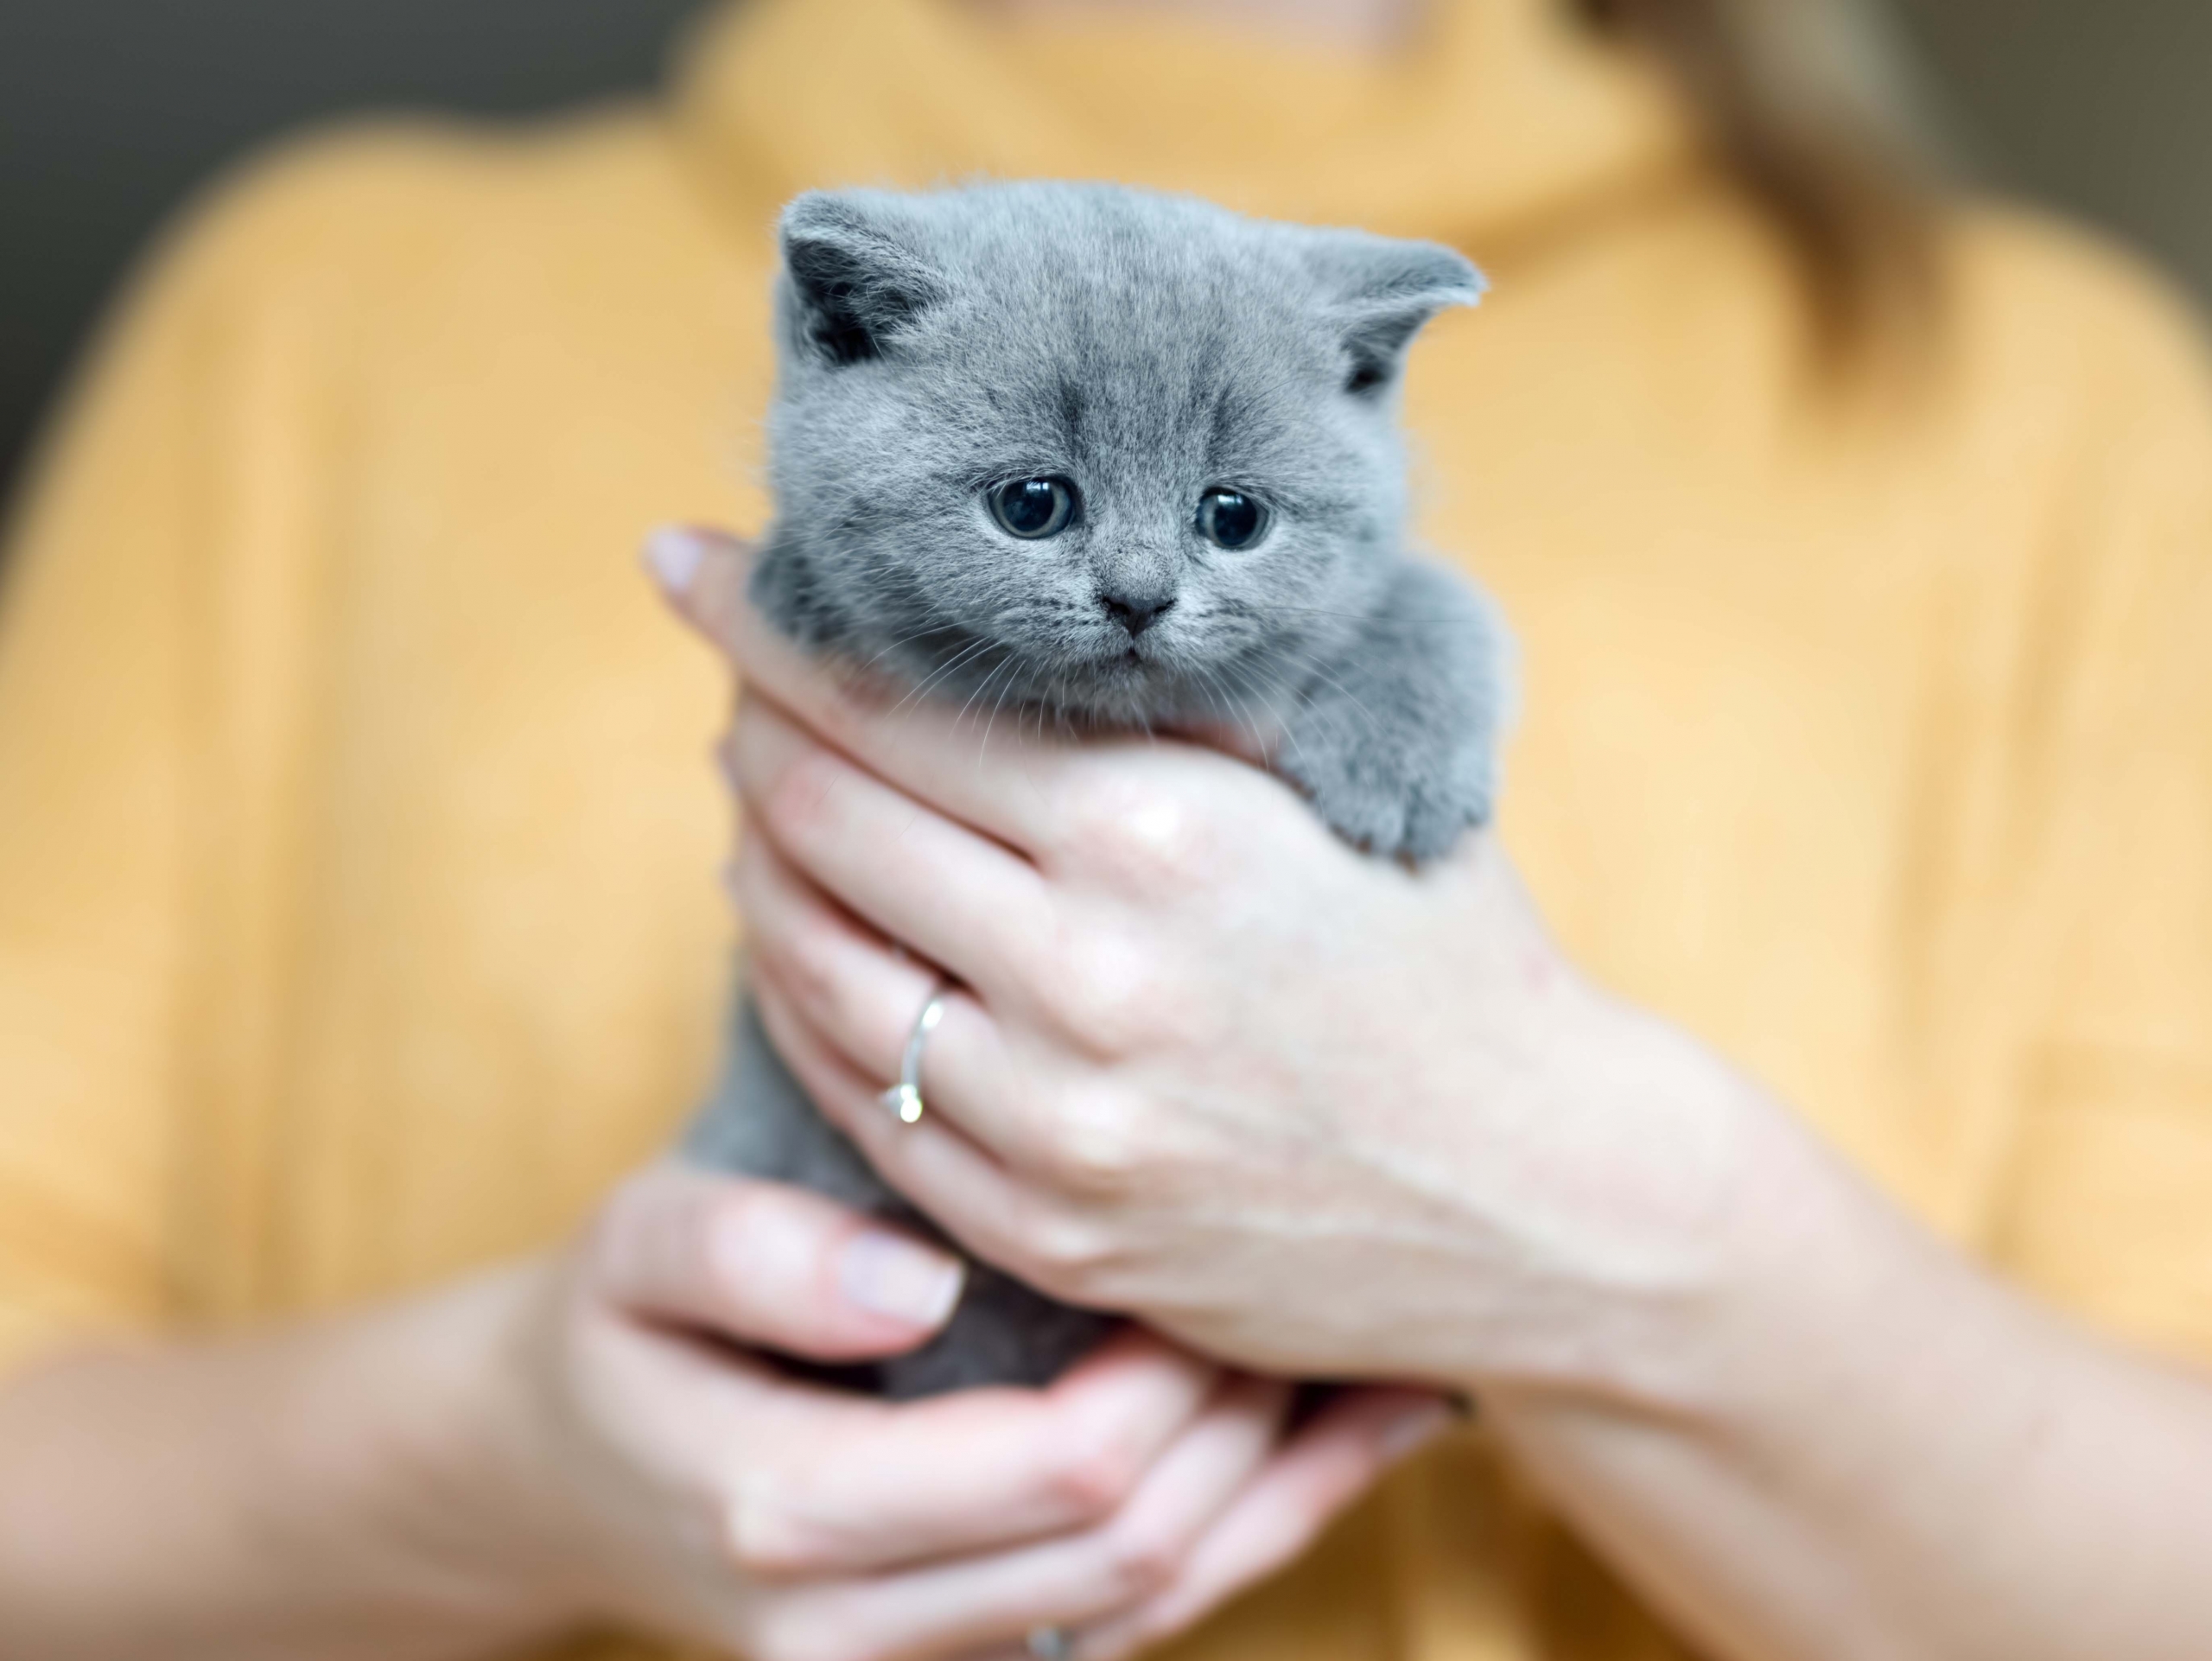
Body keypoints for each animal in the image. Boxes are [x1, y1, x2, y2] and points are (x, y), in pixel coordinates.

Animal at [681, 184, 1503, 1406]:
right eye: (1032, 503)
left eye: (1233, 516)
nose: (1138, 596)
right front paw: (797, 582)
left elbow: (1438, 598)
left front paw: (1400, 769)